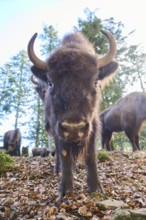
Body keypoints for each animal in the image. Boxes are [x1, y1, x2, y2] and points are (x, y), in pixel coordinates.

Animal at [27, 29, 118, 196]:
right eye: (50, 82)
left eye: (95, 81)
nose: (73, 127)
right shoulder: (57, 127)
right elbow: (64, 154)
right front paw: (65, 189)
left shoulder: (92, 125)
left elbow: (91, 154)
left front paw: (96, 187)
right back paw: (57, 170)